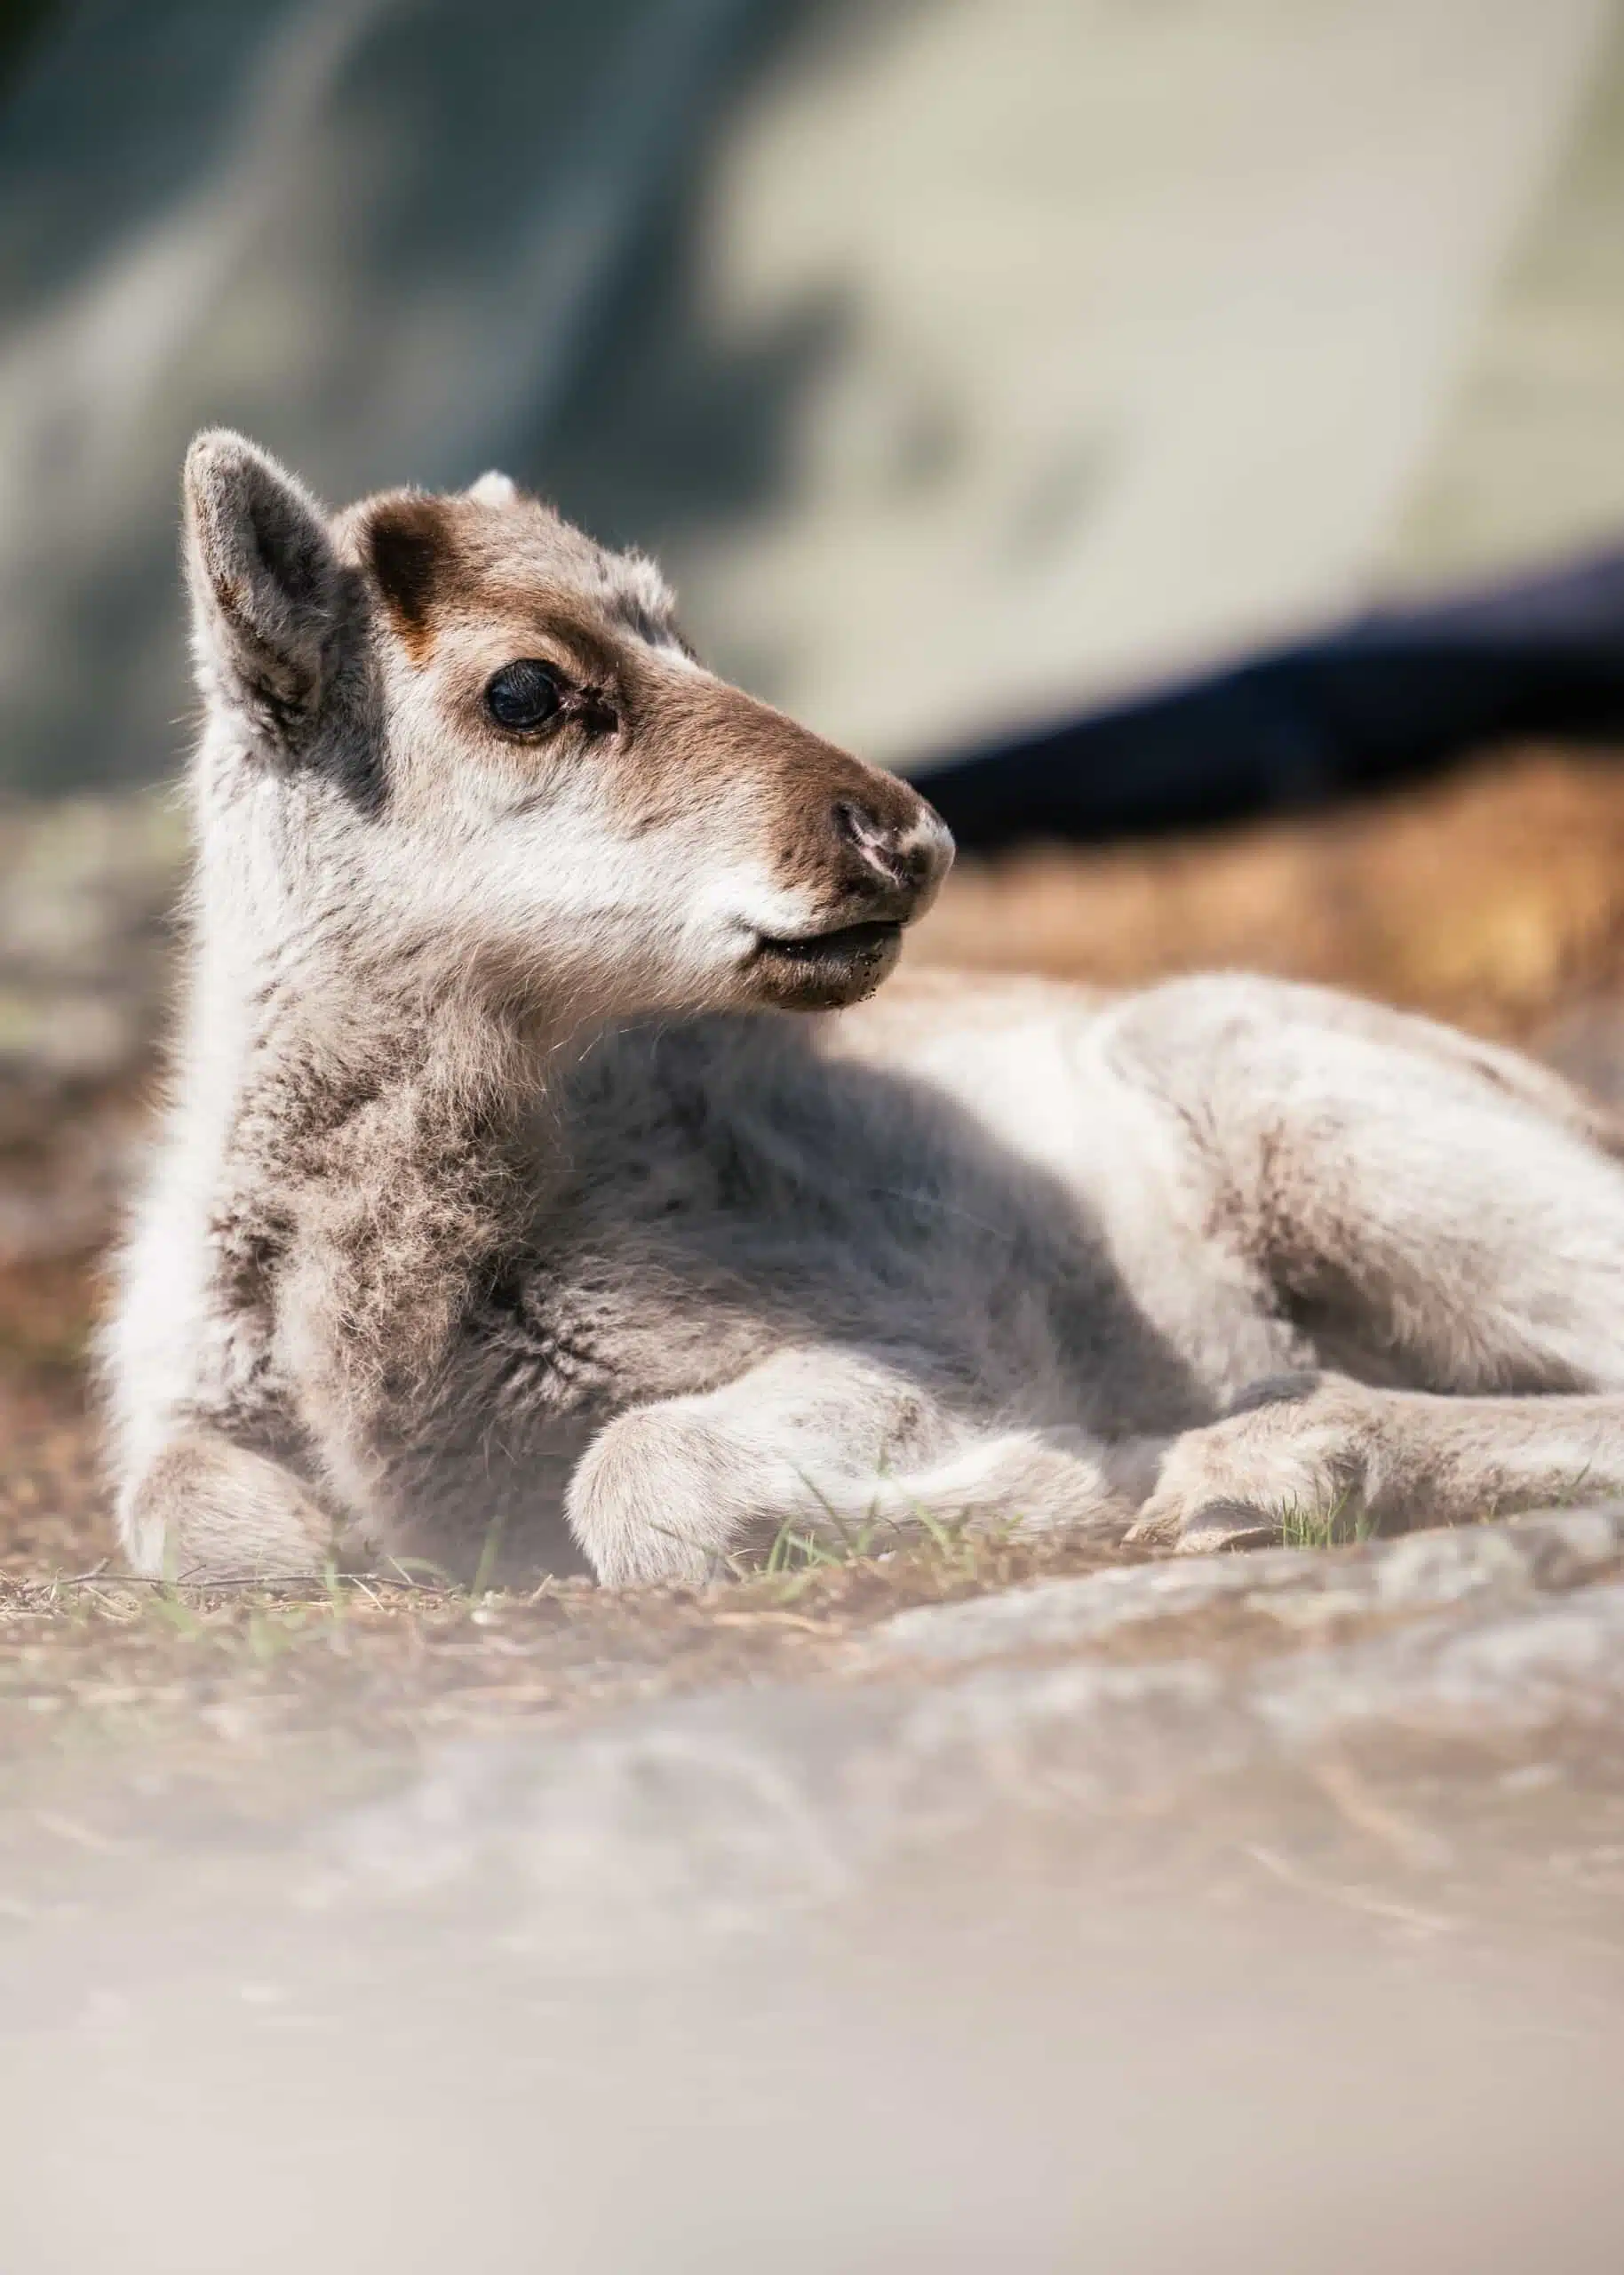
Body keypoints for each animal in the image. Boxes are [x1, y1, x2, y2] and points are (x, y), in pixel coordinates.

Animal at [101, 431, 1624, 1587]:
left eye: (683, 628)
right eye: (523, 689)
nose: (911, 837)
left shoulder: (904, 1343)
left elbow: (638, 1472)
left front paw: (1070, 1479)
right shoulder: (179, 1405)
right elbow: (191, 1527)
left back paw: (1256, 1466)